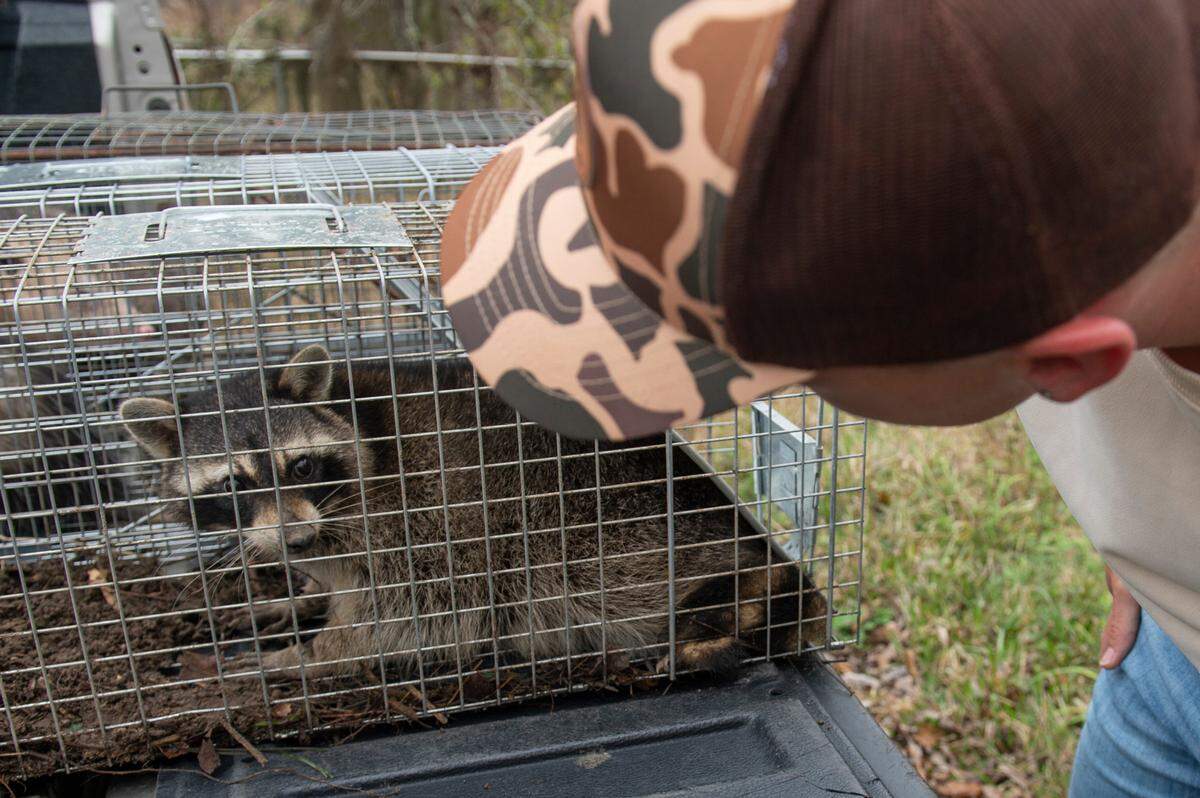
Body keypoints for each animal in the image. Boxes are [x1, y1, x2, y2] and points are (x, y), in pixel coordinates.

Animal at [119, 345, 826, 681]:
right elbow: (328, 584)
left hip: (613, 534)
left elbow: (409, 619)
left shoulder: (423, 526)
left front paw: (306, 655)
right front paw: (293, 599)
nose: (292, 538)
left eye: (300, 467)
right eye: (231, 484)